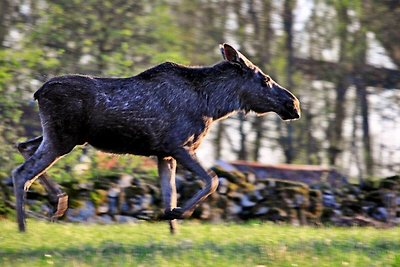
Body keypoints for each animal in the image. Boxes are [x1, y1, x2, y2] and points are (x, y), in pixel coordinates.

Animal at [11, 43, 300, 232]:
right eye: (265, 79)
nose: (293, 104)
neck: (214, 105)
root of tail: (37, 92)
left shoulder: (164, 154)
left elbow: (169, 194)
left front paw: (172, 228)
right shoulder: (179, 145)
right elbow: (212, 180)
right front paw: (179, 212)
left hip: (63, 137)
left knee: (23, 146)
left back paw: (58, 201)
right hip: (62, 138)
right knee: (21, 172)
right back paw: (24, 226)